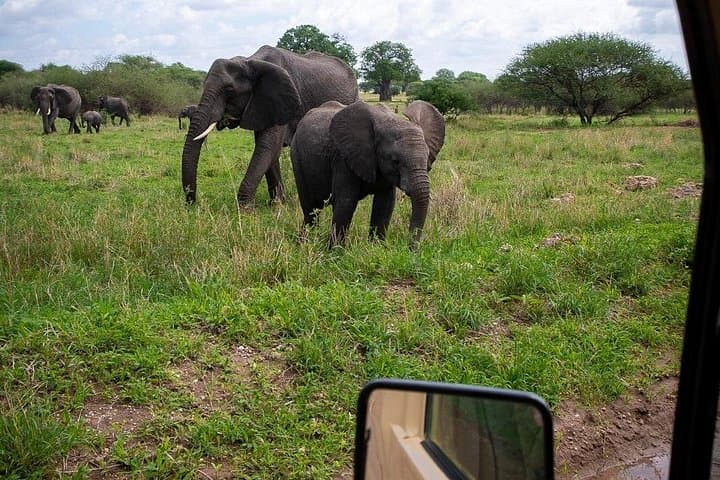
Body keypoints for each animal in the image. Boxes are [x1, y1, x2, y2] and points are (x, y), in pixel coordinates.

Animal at [182, 45, 359, 206]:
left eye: (229, 90)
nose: (192, 203)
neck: (249, 61)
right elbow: (269, 152)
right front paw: (277, 204)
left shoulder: (280, 99)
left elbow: (267, 146)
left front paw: (246, 209)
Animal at [290, 100, 445, 247]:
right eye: (395, 161)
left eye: (427, 159)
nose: (411, 250)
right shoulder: (343, 159)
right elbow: (346, 202)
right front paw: (335, 253)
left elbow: (385, 204)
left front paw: (376, 248)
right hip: (297, 157)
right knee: (310, 209)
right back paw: (305, 243)